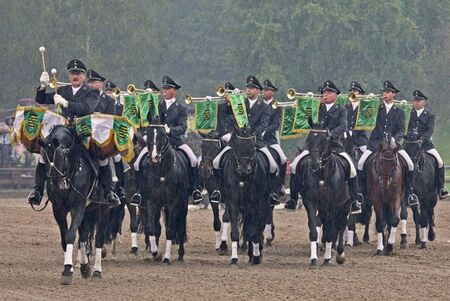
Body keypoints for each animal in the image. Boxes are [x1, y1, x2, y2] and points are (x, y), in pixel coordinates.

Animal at [40, 124, 110, 284]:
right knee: (84, 235)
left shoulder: (78, 206)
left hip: (102, 208)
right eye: (44, 159)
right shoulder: (58, 209)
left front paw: (67, 271)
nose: (57, 187)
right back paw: (84, 266)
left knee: (98, 238)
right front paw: (71, 268)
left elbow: (70, 235)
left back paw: (97, 271)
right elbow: (65, 238)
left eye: (60, 158)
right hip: (88, 210)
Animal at [141, 123, 190, 262]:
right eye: (148, 133)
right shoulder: (151, 202)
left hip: (183, 205)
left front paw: (167, 257)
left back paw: (180, 254)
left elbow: (170, 230)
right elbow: (151, 227)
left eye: (163, 134)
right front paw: (155, 251)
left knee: (180, 226)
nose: (154, 157)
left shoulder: (173, 203)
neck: (162, 172)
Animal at [221, 126, 270, 264]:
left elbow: (254, 232)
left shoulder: (256, 205)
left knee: (257, 229)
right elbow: (235, 233)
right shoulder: (233, 204)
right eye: (236, 144)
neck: (243, 178)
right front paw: (234, 258)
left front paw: (256, 256)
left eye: (252, 146)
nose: (243, 169)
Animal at [294, 129, 354, 268]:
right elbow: (314, 228)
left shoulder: (334, 205)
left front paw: (327, 259)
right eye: (310, 138)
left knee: (341, 225)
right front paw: (314, 259)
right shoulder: (311, 202)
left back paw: (340, 253)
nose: (314, 163)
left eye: (323, 140)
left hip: (345, 205)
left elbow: (332, 231)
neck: (322, 174)